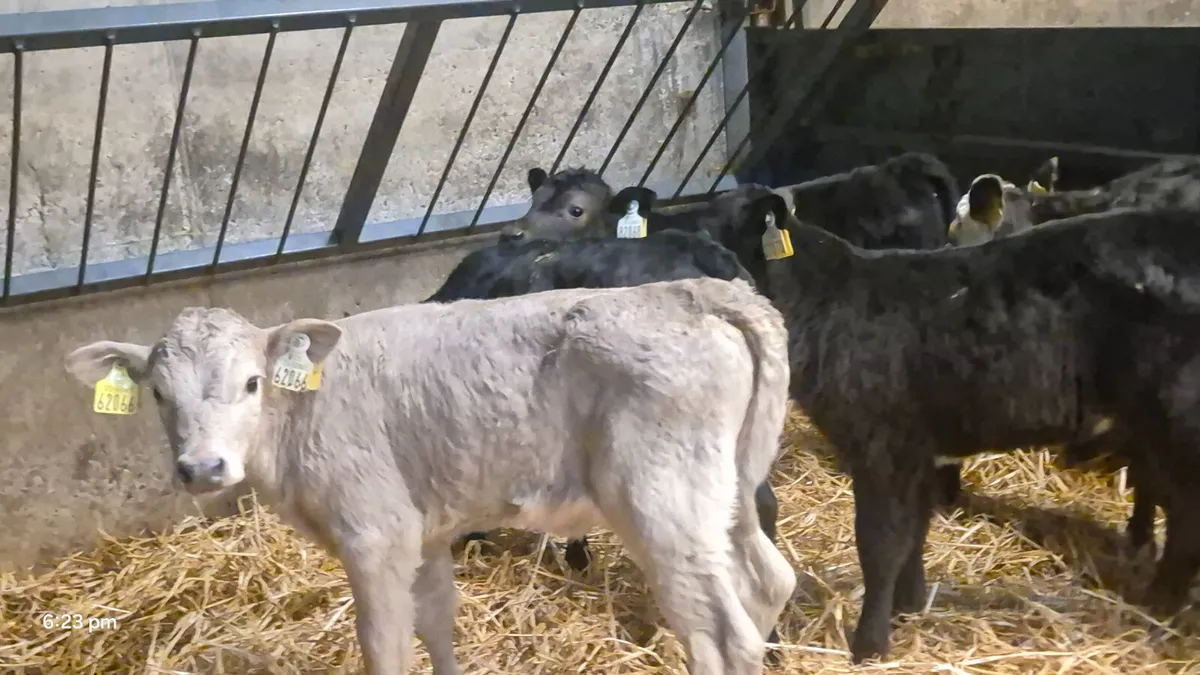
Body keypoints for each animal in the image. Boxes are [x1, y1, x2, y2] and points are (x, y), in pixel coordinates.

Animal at [63, 276, 796, 675]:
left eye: (250, 382)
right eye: (159, 393)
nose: (202, 466)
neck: (303, 409)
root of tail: (694, 292)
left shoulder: (375, 532)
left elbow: (384, 642)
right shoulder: (427, 529)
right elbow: (437, 621)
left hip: (660, 496)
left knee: (719, 629)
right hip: (725, 490)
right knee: (768, 581)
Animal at [733, 191, 1200, 664]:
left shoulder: (883, 445)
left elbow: (880, 544)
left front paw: (869, 646)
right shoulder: (919, 451)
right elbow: (914, 533)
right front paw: (908, 608)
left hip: (1176, 427)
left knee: (1186, 524)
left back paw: (1160, 611)